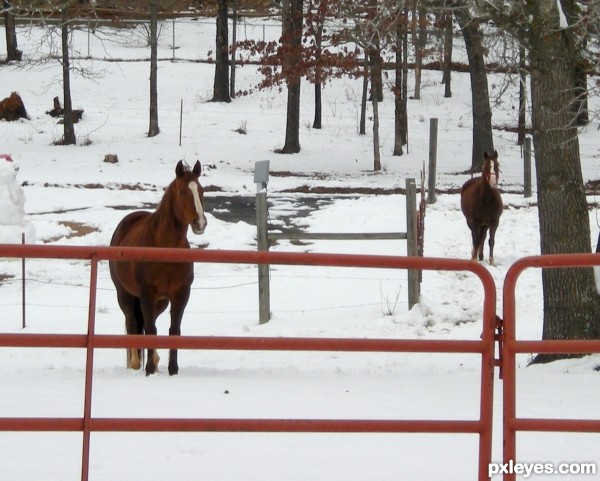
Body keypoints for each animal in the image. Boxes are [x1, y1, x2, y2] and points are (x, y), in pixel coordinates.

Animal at [109, 161, 207, 376]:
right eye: (182, 192)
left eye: (201, 191)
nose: (200, 223)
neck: (165, 250)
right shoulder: (147, 294)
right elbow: (151, 330)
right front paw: (149, 369)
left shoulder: (180, 295)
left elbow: (173, 330)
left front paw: (173, 369)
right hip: (125, 296)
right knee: (133, 324)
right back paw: (137, 364)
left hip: (160, 302)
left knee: (146, 324)